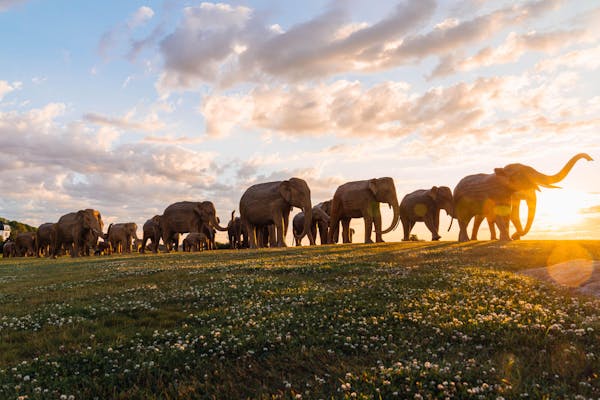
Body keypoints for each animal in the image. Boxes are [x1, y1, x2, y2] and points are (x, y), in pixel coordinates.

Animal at [454, 152, 592, 241]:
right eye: (522, 174)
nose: (590, 159)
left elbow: (508, 214)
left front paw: (510, 239)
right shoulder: (493, 195)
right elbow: (501, 214)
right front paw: (509, 239)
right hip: (460, 202)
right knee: (465, 219)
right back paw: (466, 240)